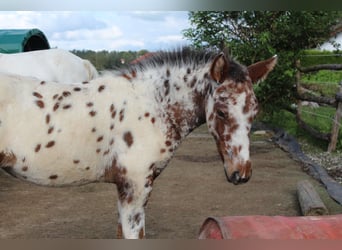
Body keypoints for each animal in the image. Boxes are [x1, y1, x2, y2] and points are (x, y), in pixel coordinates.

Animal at [0, 47, 276, 238]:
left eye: (255, 112)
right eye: (221, 112)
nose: (241, 173)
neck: (150, 105)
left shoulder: (125, 189)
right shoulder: (135, 187)